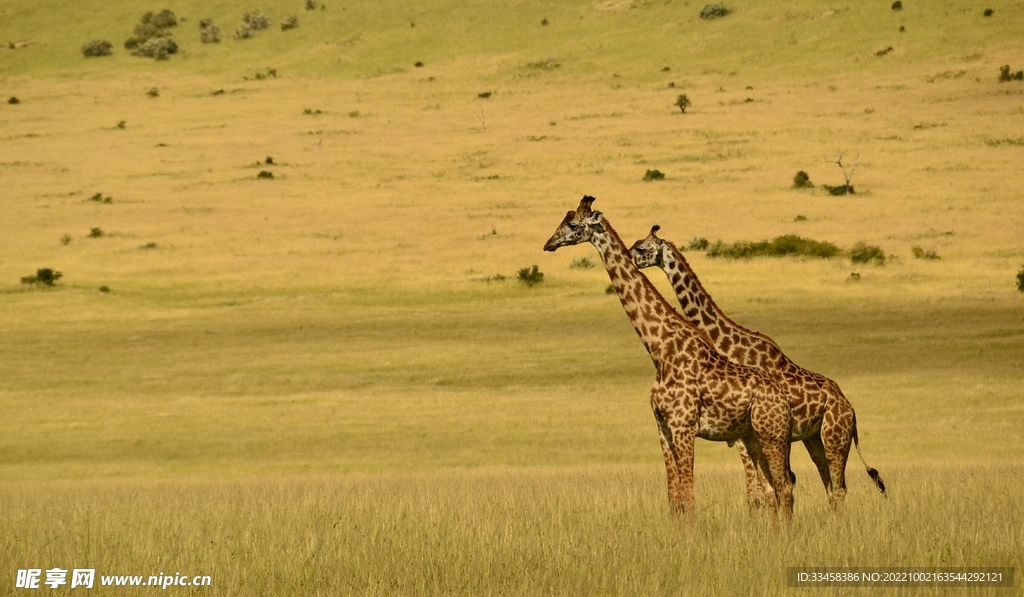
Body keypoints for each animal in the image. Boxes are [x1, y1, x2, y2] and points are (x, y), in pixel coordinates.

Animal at [540, 198, 794, 520]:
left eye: (572, 224)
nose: (548, 244)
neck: (660, 349)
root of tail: (783, 397)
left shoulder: (683, 426)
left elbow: (689, 498)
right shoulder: (662, 428)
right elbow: (675, 500)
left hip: (772, 435)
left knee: (784, 487)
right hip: (753, 437)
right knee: (773, 488)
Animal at [626, 225, 884, 509]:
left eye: (641, 248)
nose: (631, 259)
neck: (728, 346)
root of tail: (851, 409)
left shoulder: (746, 433)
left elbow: (762, 492)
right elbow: (762, 491)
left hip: (833, 438)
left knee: (836, 487)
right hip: (812, 438)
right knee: (829, 484)